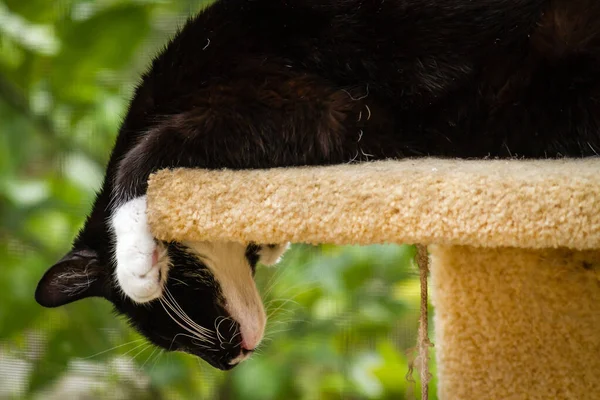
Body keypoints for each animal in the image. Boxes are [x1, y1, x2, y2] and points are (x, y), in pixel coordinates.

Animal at [34, 0, 600, 370]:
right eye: (173, 347)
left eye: (186, 296)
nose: (231, 361)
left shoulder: (305, 106)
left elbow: (142, 156)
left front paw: (136, 261)